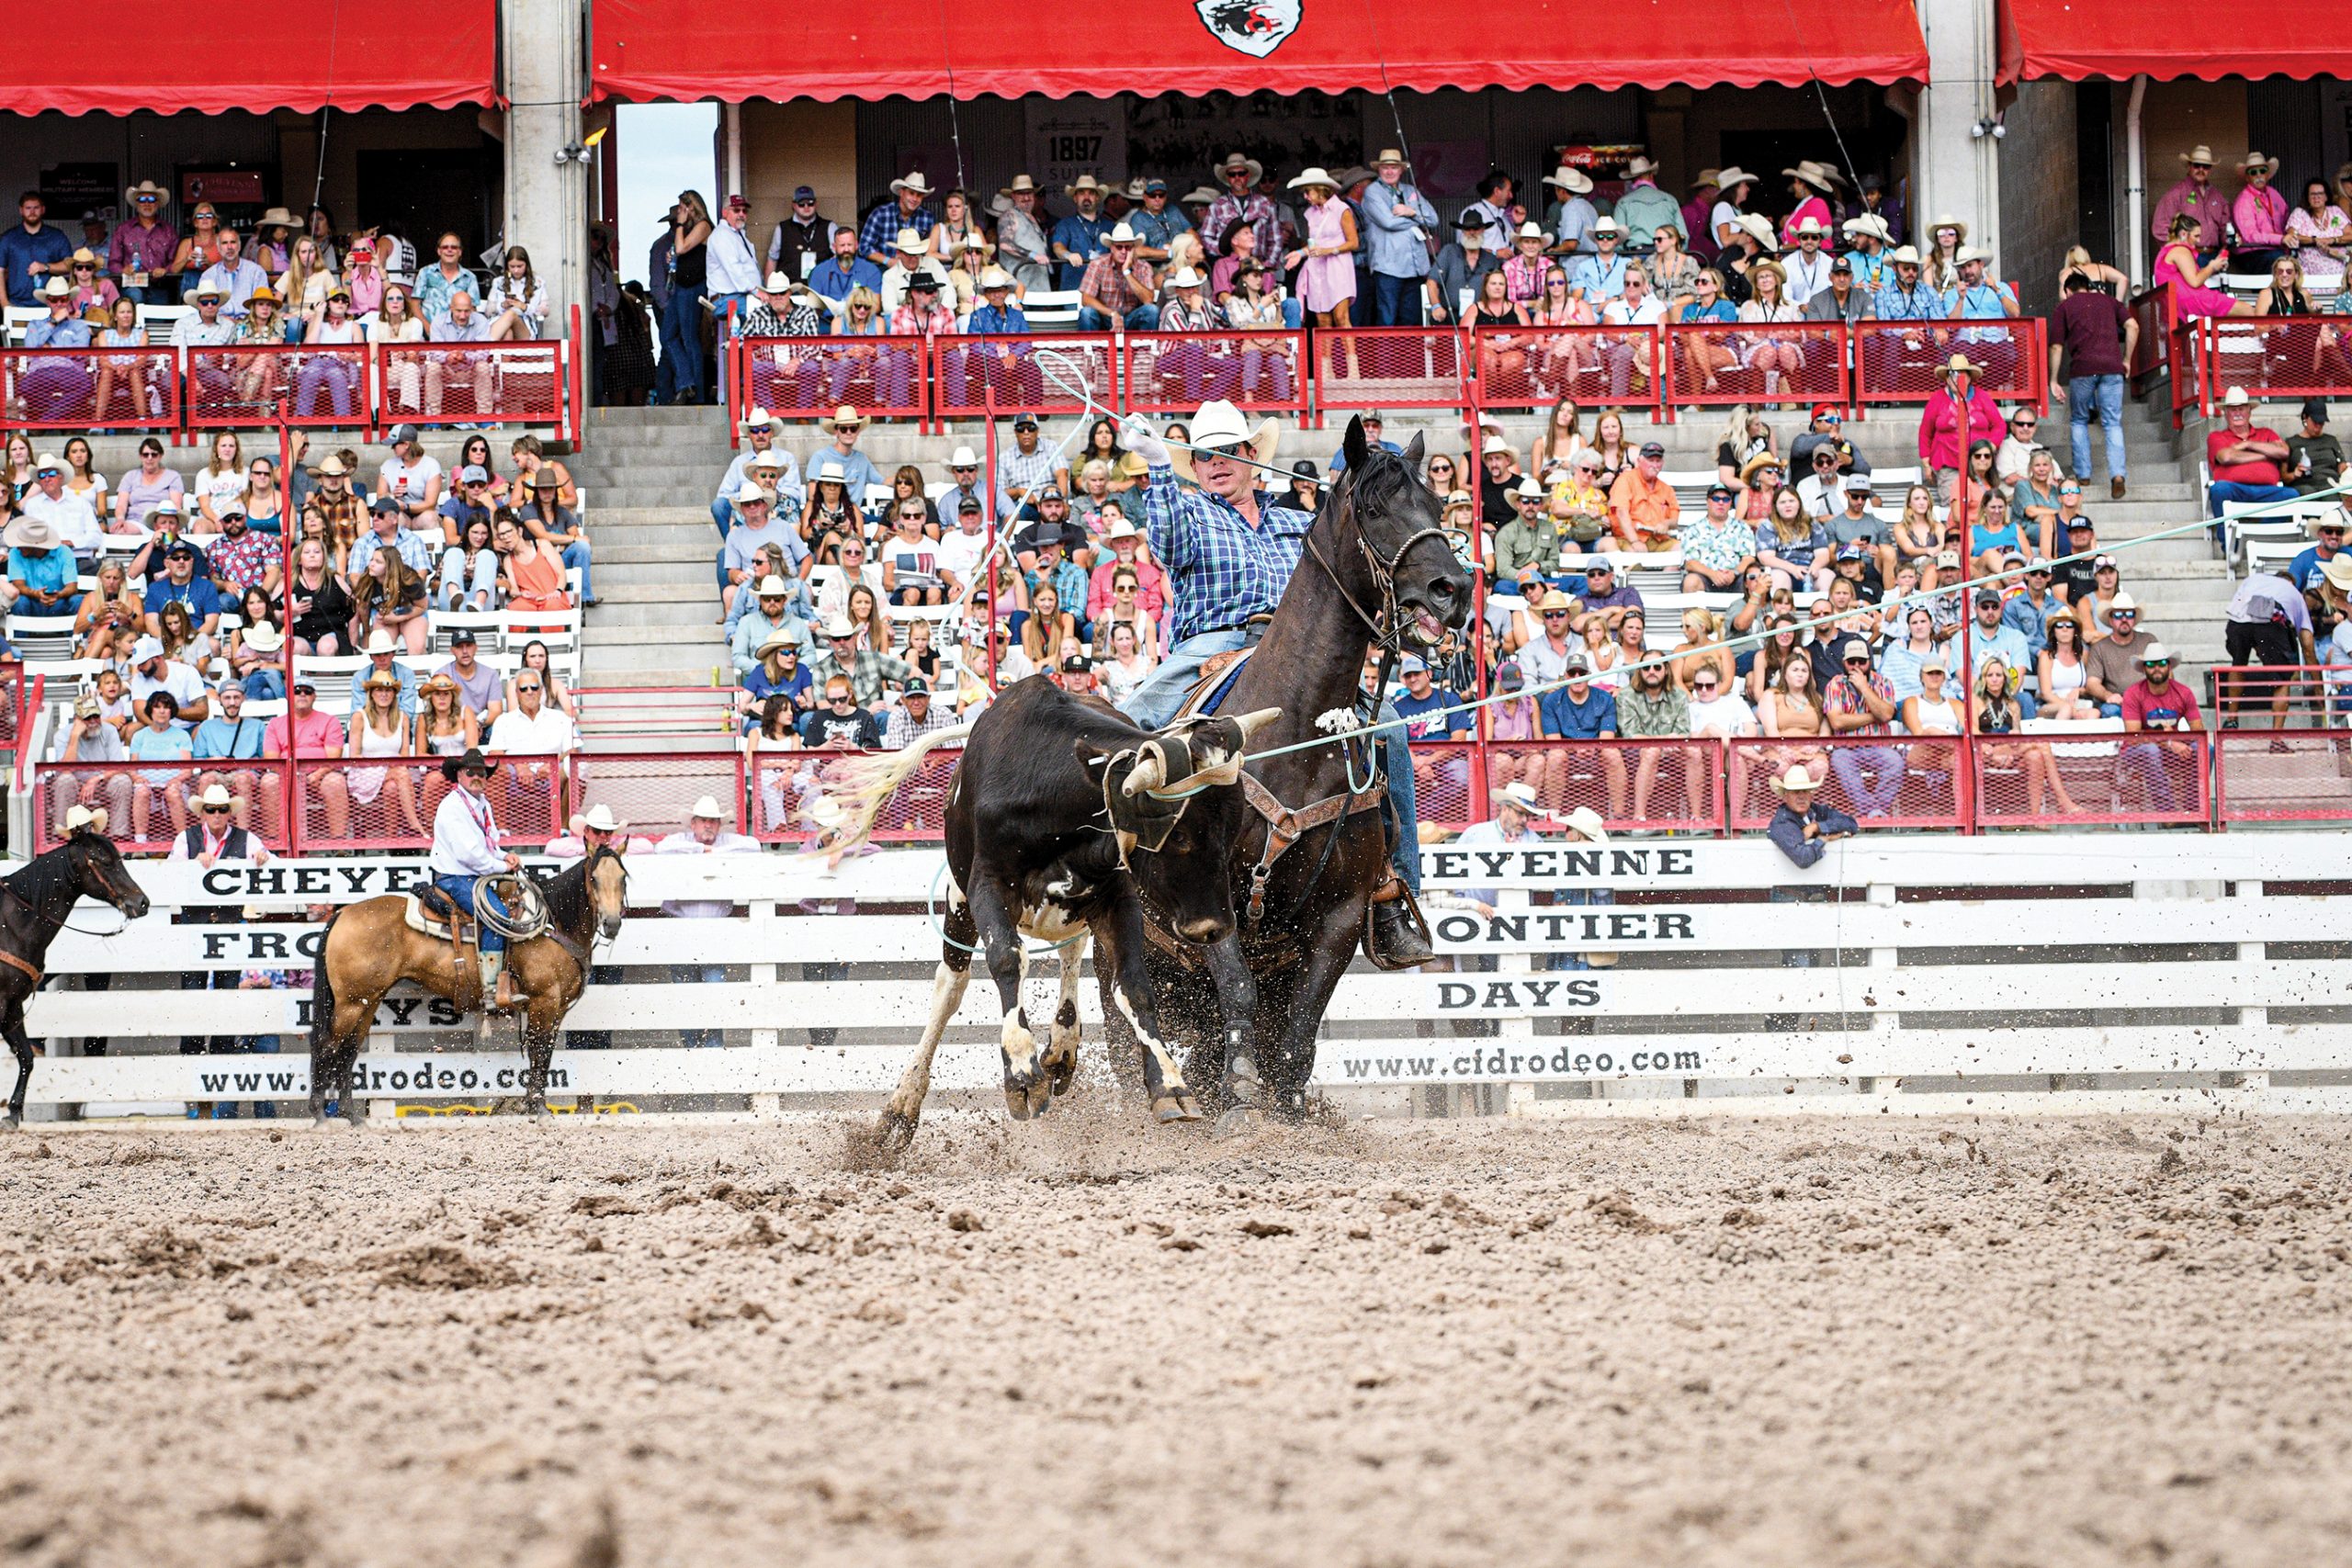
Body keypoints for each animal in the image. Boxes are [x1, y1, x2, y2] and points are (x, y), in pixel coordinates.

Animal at [0, 822, 152, 1128]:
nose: (141, 902)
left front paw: (13, 1113)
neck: (12, 922)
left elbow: (26, 1057)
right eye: (104, 860)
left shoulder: (13, 1005)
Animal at [308, 846, 630, 1128]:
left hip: (368, 999)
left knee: (348, 1051)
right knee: (327, 1046)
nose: (612, 923)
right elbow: (540, 1052)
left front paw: (531, 1106)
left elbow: (544, 1053)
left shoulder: (558, 1008)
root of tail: (343, 913)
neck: (553, 924)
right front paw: (539, 1110)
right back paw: (320, 1117)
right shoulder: (545, 1001)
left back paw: (353, 1117)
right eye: (594, 878)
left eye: (623, 878)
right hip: (350, 1002)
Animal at [1124, 415, 1467, 1128]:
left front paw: (1286, 1105)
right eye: (1373, 508)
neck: (1293, 743)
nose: (1455, 589)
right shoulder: (1214, 904)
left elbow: (1301, 1026)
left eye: (1435, 502)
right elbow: (1238, 991)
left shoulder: (1340, 917)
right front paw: (1243, 1096)